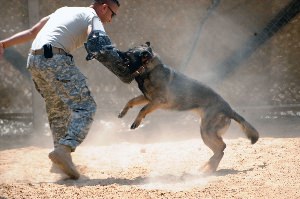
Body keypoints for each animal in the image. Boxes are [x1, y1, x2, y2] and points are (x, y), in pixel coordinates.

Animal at [118, 42, 258, 173]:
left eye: (129, 53)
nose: (117, 52)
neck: (150, 70)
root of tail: (229, 109)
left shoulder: (158, 101)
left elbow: (142, 109)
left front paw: (136, 122)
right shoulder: (147, 98)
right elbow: (131, 101)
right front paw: (122, 113)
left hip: (206, 132)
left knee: (221, 148)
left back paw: (208, 169)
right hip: (206, 132)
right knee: (219, 150)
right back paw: (206, 167)